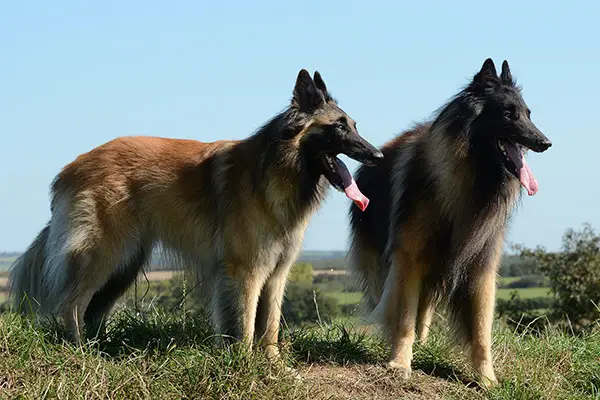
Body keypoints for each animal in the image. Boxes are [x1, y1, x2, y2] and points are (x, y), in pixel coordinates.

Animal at [9, 69, 382, 360]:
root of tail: (69, 169)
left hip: (125, 265)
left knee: (91, 308)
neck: (277, 169)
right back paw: (82, 352)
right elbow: (246, 325)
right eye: (338, 127)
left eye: (354, 125)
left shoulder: (277, 273)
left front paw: (274, 366)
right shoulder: (246, 271)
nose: (377, 156)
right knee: (71, 303)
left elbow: (270, 326)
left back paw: (100, 348)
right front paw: (243, 365)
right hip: (103, 255)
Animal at [346, 57, 552, 386]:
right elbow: (403, 318)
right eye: (509, 113)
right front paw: (399, 364)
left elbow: (481, 332)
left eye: (528, 114)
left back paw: (424, 343)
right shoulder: (408, 259)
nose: (545, 142)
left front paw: (487, 379)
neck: (472, 176)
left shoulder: (480, 266)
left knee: (425, 310)